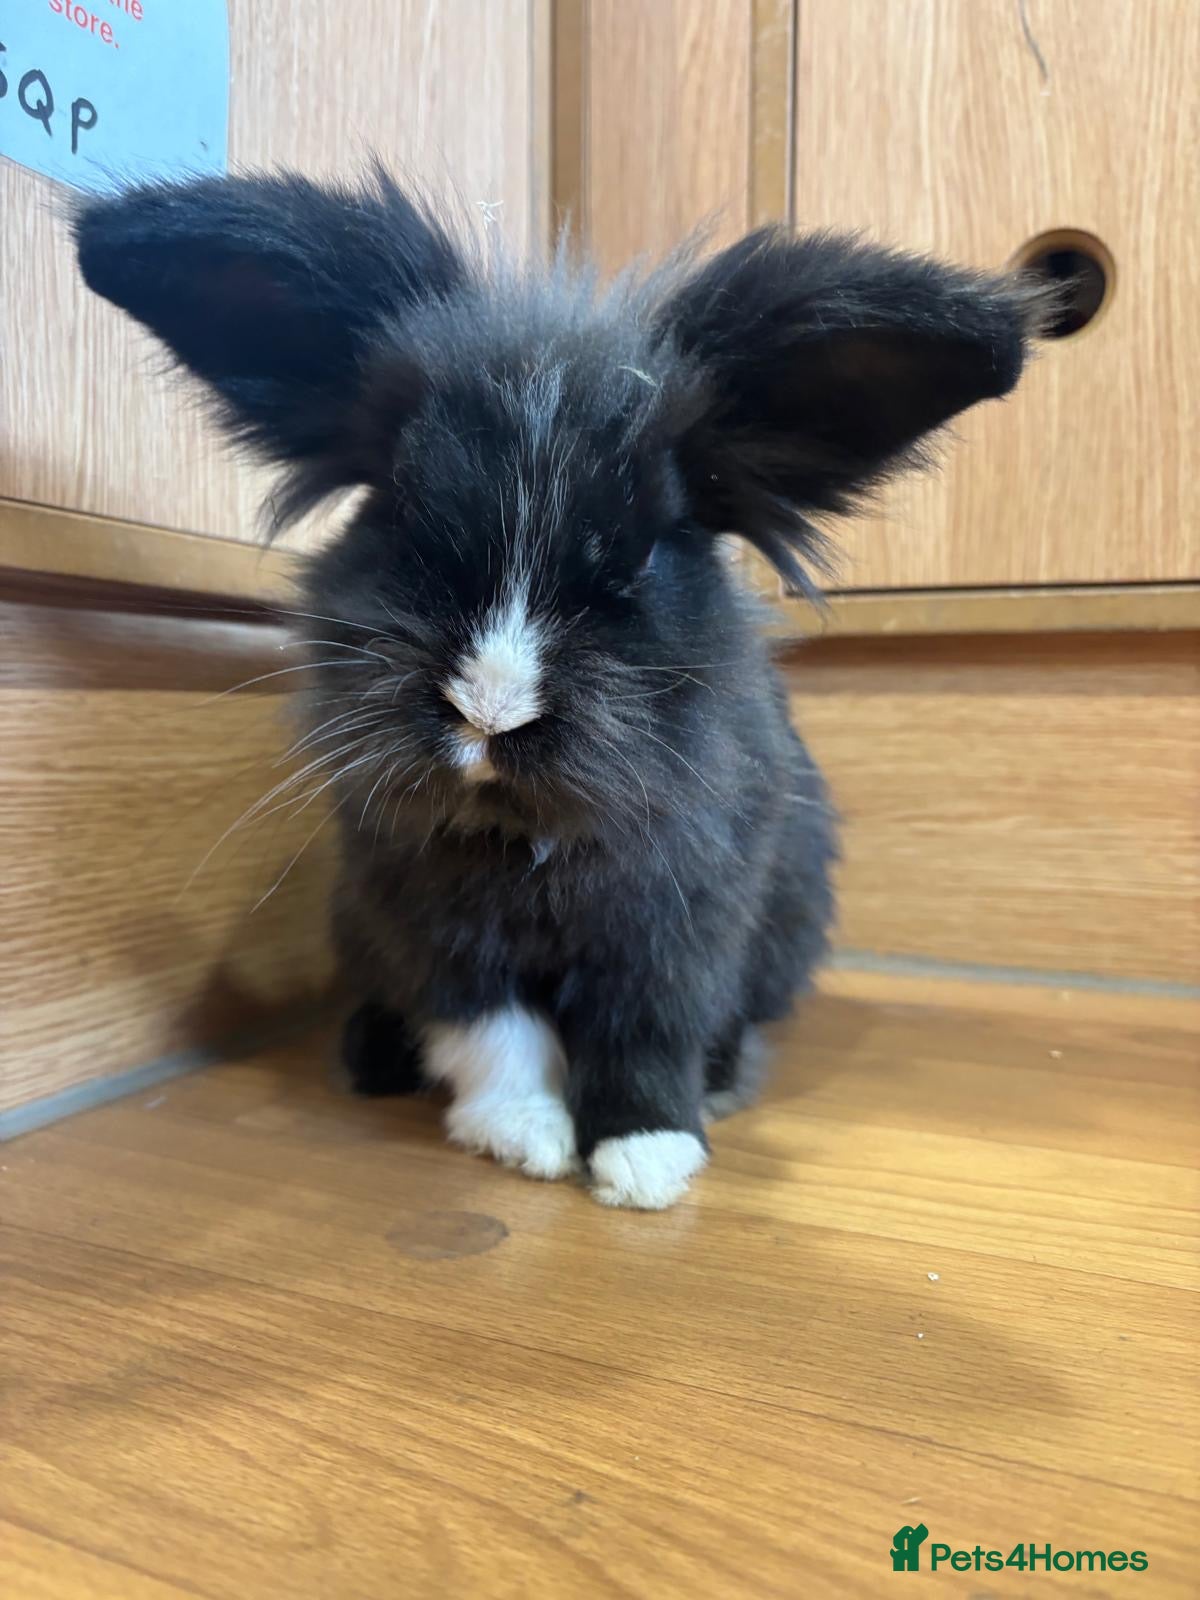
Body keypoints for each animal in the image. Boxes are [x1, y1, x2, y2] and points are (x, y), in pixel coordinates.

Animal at [74, 169, 1045, 1209]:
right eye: (399, 514)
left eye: (650, 547)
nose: (489, 709)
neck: (519, 830)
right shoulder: (432, 930)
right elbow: (492, 1034)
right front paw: (526, 1139)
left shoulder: (679, 927)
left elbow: (646, 1033)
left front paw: (647, 1162)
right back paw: (371, 1061)